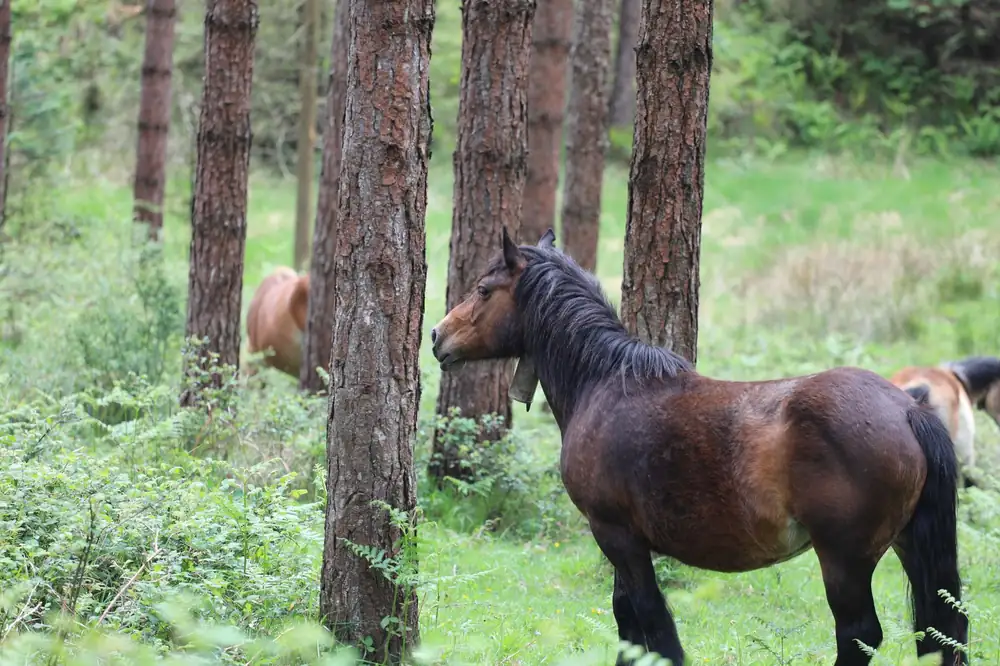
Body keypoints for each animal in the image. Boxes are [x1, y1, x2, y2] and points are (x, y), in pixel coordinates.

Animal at [429, 228, 968, 666]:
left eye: (483, 290)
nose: (437, 336)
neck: (604, 384)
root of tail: (908, 409)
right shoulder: (623, 538)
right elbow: (627, 620)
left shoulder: (615, 533)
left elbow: (651, 622)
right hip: (907, 545)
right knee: (940, 631)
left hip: (844, 560)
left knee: (860, 635)